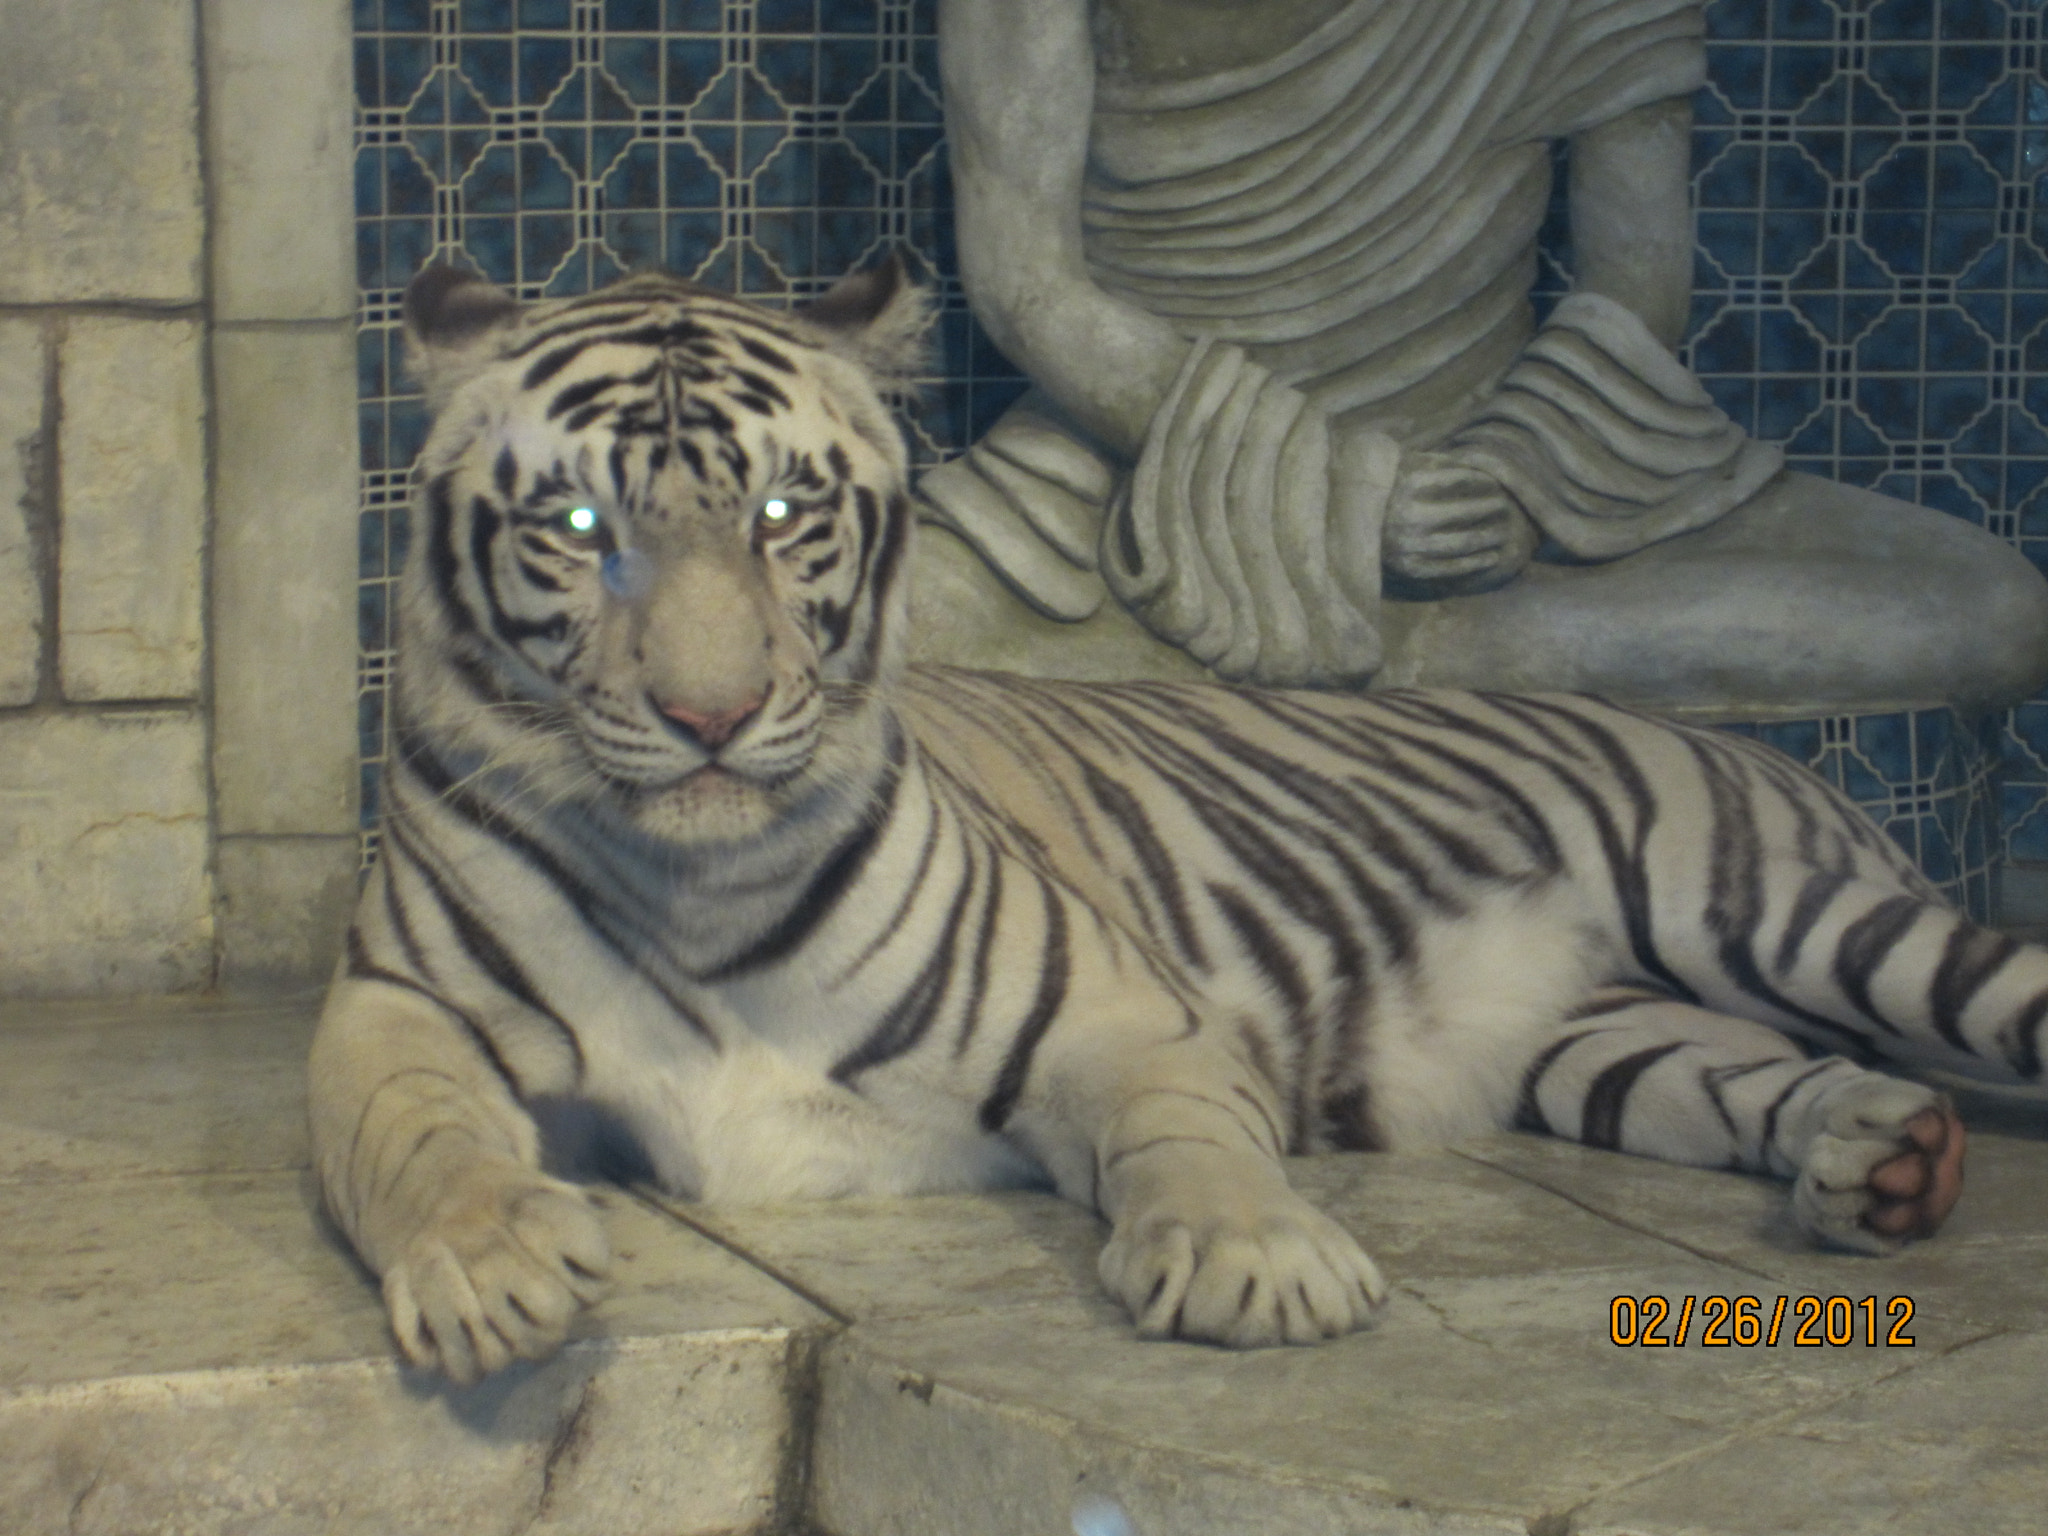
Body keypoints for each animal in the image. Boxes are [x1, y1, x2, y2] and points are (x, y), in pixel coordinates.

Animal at [312, 254, 2035, 1386]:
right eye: (577, 525)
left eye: (786, 517)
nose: (712, 718)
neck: (699, 881)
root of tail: (1766, 755)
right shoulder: (396, 1007)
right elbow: (414, 1133)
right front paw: (494, 1263)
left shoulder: (1126, 1014)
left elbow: (1191, 1142)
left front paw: (1256, 1265)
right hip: (1609, 1040)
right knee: (1775, 1072)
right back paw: (1889, 1165)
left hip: (1783, 915)